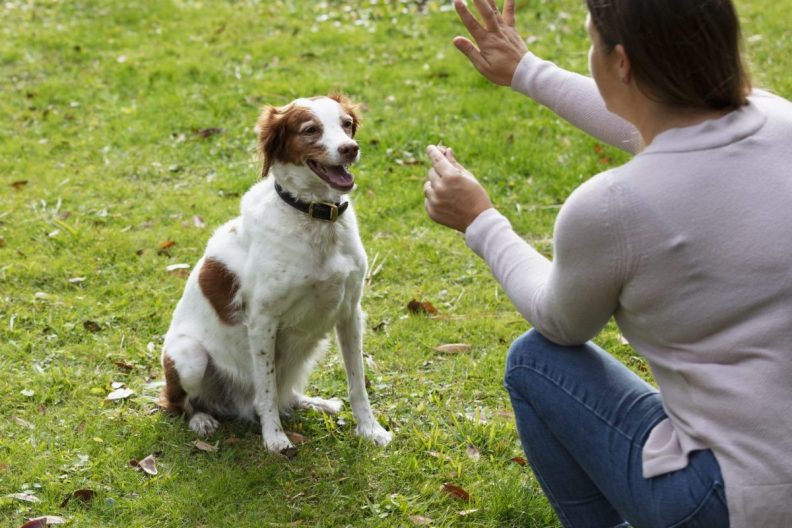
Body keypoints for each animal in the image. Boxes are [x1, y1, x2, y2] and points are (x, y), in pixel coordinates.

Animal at [160, 95, 392, 454]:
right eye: (310, 130)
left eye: (346, 124)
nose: (350, 149)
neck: (315, 217)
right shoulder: (262, 321)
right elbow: (266, 390)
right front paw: (274, 438)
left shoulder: (350, 312)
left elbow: (357, 383)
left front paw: (369, 429)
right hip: (189, 356)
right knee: (179, 402)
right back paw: (201, 420)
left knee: (286, 393)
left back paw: (315, 402)